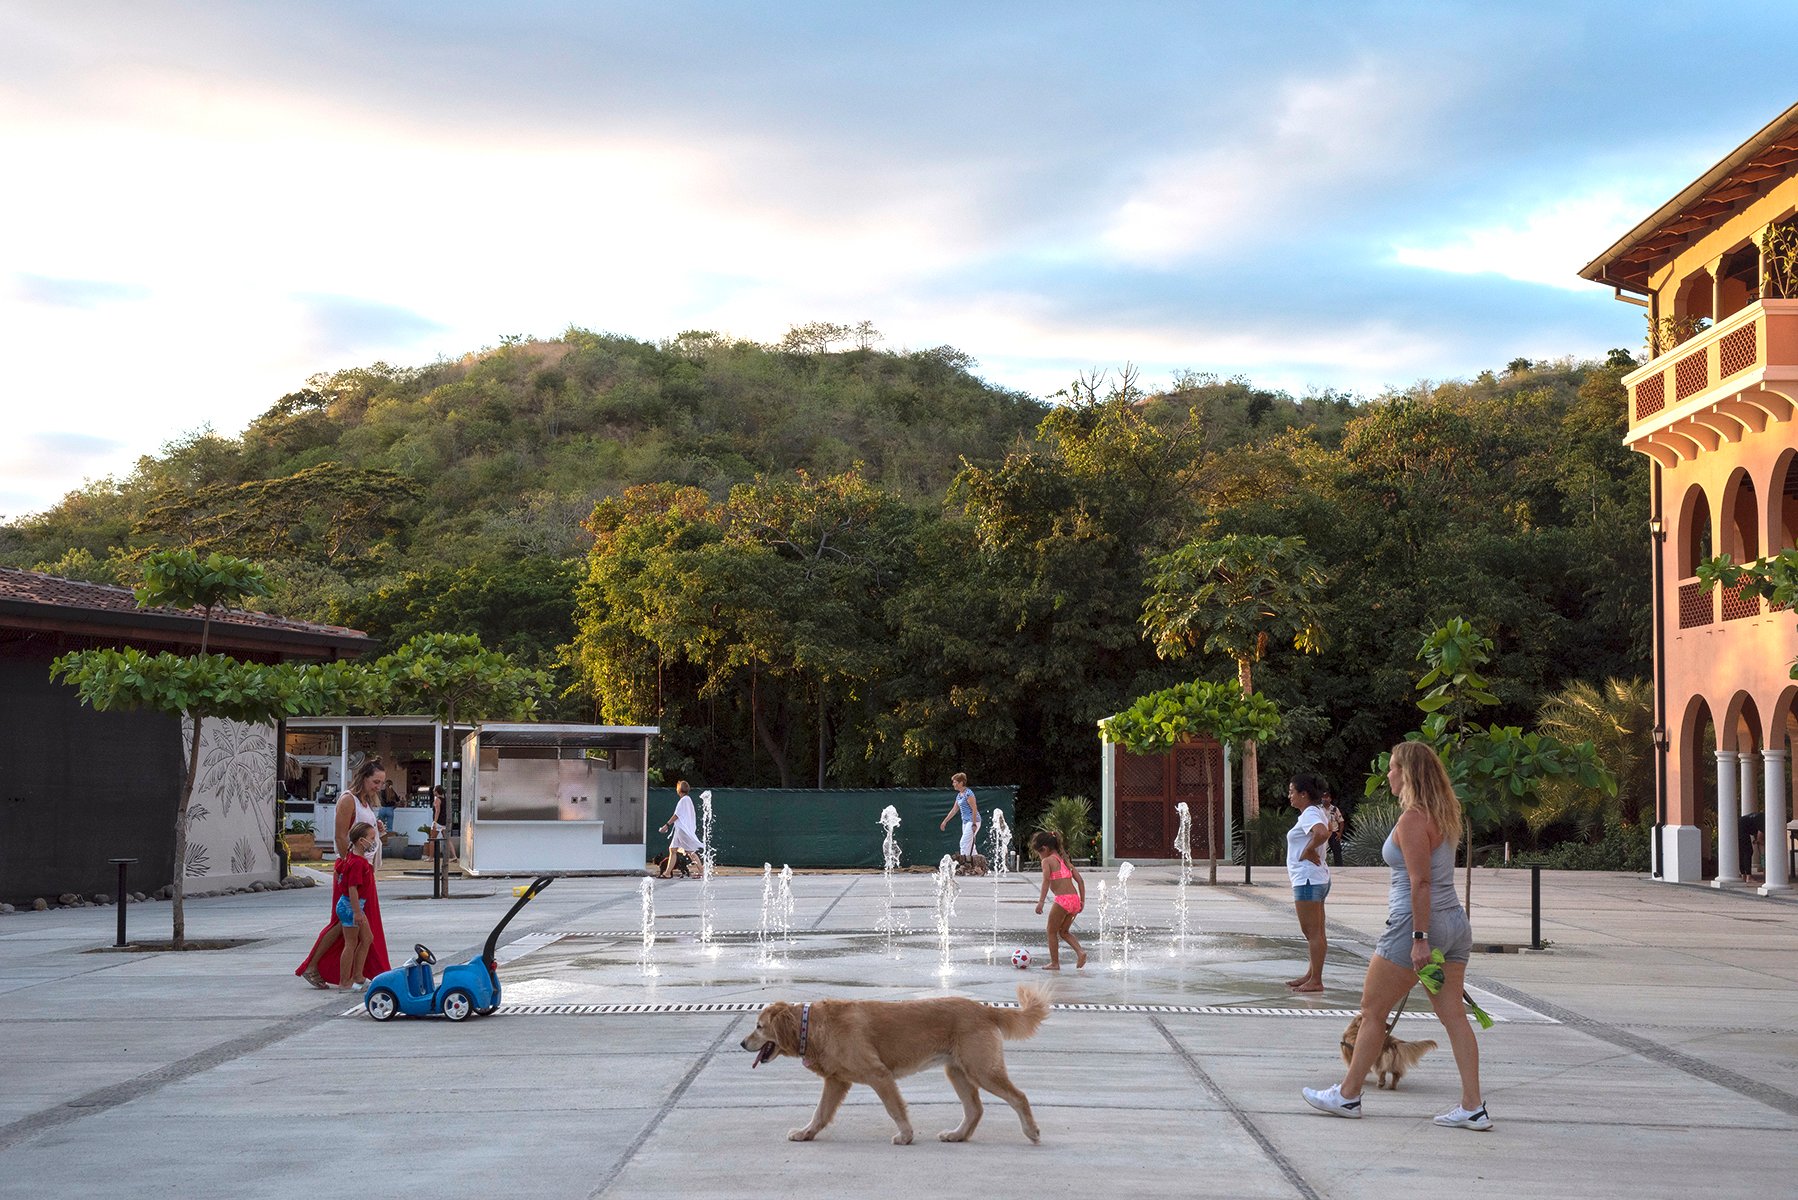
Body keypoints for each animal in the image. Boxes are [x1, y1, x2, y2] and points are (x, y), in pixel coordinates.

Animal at [744, 985, 1050, 1144]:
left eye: (759, 1027)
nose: (742, 1043)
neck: (813, 1026)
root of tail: (984, 1009)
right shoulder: (836, 1081)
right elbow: (820, 1113)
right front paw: (805, 1133)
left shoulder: (878, 1075)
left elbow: (894, 1109)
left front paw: (906, 1135)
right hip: (957, 1071)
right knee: (975, 1109)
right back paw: (957, 1135)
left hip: (981, 1069)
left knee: (1019, 1097)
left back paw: (1032, 1132)